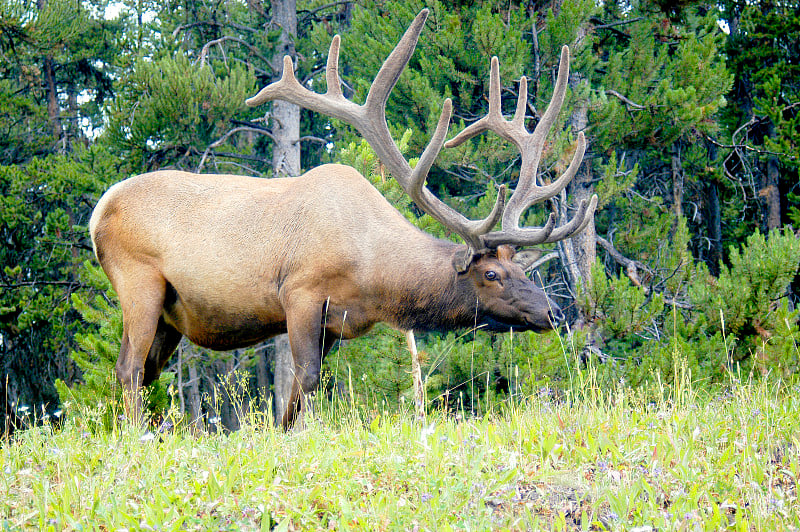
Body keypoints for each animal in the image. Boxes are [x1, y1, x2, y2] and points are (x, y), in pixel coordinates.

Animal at [90, 9, 596, 428]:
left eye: (523, 268)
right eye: (491, 274)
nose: (553, 312)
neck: (373, 275)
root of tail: (97, 214)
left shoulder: (335, 322)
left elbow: (298, 391)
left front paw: (282, 433)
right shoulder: (299, 293)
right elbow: (307, 379)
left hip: (172, 316)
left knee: (144, 370)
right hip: (139, 282)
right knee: (128, 368)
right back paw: (135, 435)